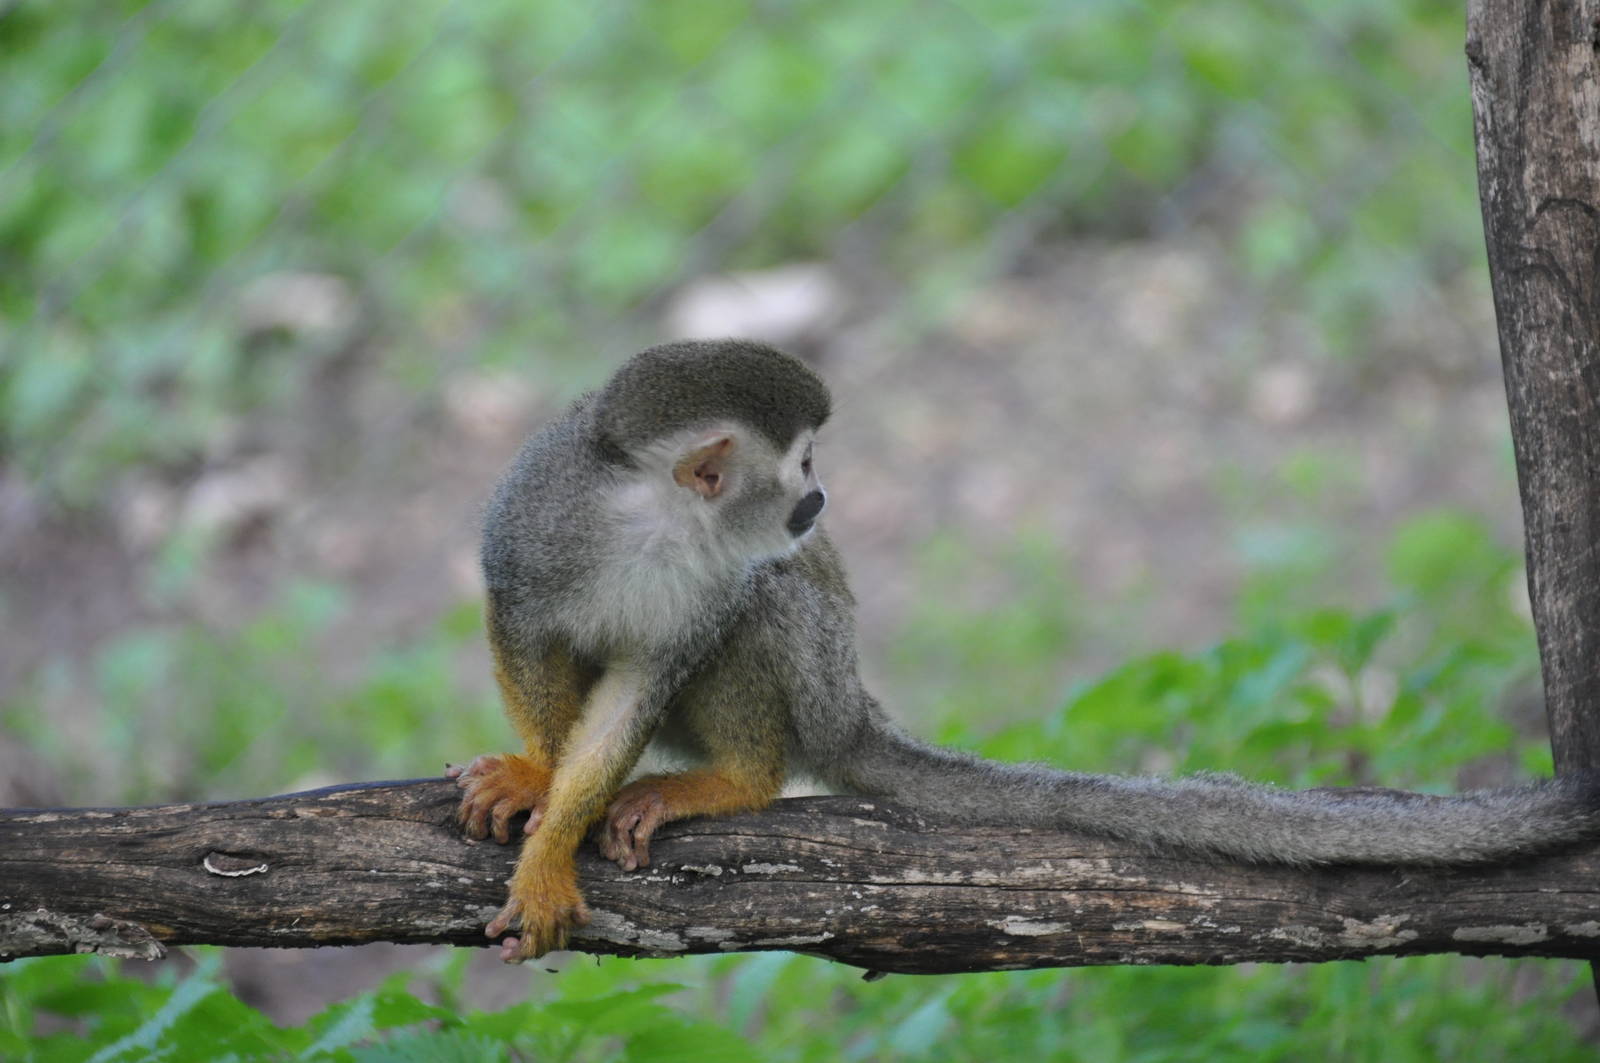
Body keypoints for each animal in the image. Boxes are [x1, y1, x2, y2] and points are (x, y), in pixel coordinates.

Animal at [451, 338, 1600, 963]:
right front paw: (543, 778)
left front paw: (552, 835)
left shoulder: (707, 568)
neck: (656, 517)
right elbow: (524, 618)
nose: (820, 500)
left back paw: (736, 779)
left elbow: (657, 669)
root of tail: (850, 706)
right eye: (805, 463)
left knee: (770, 594)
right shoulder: (536, 513)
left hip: (817, 681)